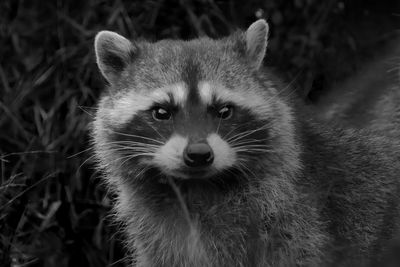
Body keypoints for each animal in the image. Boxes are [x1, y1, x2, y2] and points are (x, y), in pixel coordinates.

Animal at [91, 19, 400, 266]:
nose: (199, 154)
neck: (197, 188)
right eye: (162, 112)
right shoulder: (162, 242)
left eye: (224, 111)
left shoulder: (298, 228)